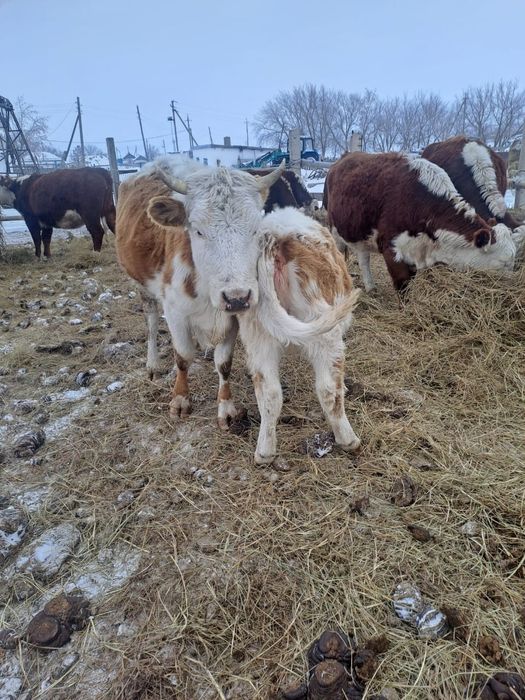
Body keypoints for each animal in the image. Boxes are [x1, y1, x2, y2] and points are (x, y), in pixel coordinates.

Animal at [115, 156, 360, 464]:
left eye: (254, 227)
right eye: (197, 230)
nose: (238, 297)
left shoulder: (232, 318)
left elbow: (224, 363)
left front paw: (226, 410)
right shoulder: (175, 312)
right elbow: (183, 356)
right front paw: (180, 400)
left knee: (283, 390)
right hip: (143, 287)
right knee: (150, 322)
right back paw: (153, 364)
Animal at [323, 151, 519, 292]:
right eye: (502, 263)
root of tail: (345, 157)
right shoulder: (391, 248)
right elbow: (403, 284)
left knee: (363, 258)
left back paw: (370, 287)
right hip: (334, 230)